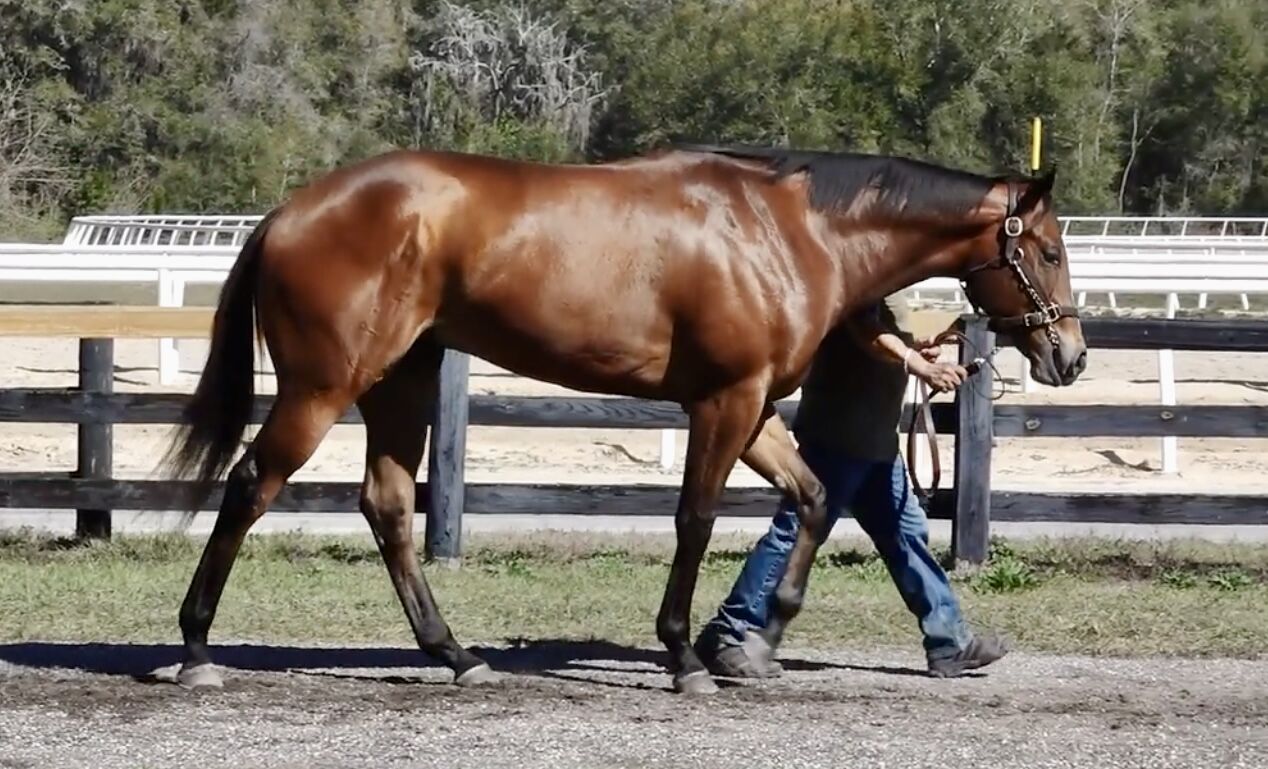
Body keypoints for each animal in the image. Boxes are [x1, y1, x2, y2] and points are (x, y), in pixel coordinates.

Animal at [161, 143, 1086, 695]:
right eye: (1046, 251)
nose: (1069, 356)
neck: (787, 232)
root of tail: (288, 213)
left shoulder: (753, 407)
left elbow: (816, 499)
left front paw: (756, 641)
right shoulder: (724, 400)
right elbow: (695, 519)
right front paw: (685, 655)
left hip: (401, 381)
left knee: (386, 506)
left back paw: (457, 656)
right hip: (323, 387)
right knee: (250, 485)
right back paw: (197, 650)